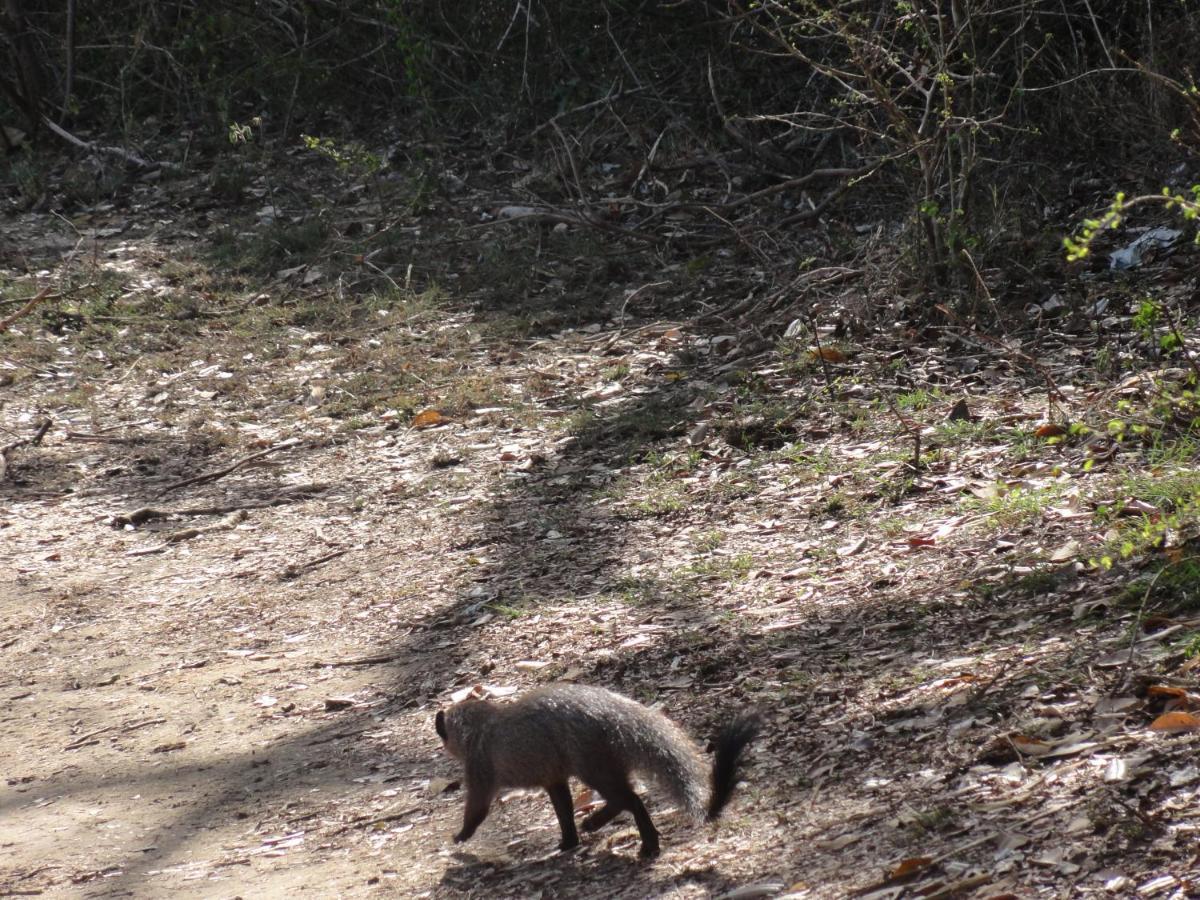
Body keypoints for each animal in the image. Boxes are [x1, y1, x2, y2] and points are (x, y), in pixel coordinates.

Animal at [436, 681, 763, 859]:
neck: (482, 728)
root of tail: (613, 711)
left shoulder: (479, 771)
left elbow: (477, 809)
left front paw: (459, 836)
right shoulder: (554, 777)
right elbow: (563, 810)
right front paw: (567, 842)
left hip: (592, 765)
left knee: (629, 799)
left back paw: (614, 831)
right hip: (604, 765)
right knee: (628, 798)